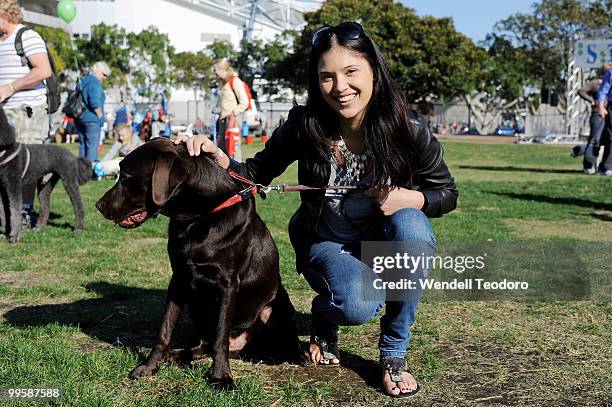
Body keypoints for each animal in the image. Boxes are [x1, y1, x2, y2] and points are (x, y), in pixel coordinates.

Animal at [0, 107, 90, 244]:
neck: (4, 150)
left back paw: (78, 228)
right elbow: (4, 213)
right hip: (45, 185)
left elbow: (14, 211)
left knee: (78, 205)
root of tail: (73, 157)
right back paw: (39, 227)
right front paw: (5, 234)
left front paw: (14, 236)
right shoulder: (2, 189)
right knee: (45, 206)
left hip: (69, 181)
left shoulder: (14, 186)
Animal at [95, 139, 304, 390]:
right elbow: (164, 330)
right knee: (205, 344)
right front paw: (149, 366)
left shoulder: (228, 284)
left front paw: (221, 377)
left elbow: (221, 336)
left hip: (275, 307)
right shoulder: (179, 279)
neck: (197, 219)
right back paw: (176, 355)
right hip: (197, 305)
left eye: (126, 176)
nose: (98, 205)